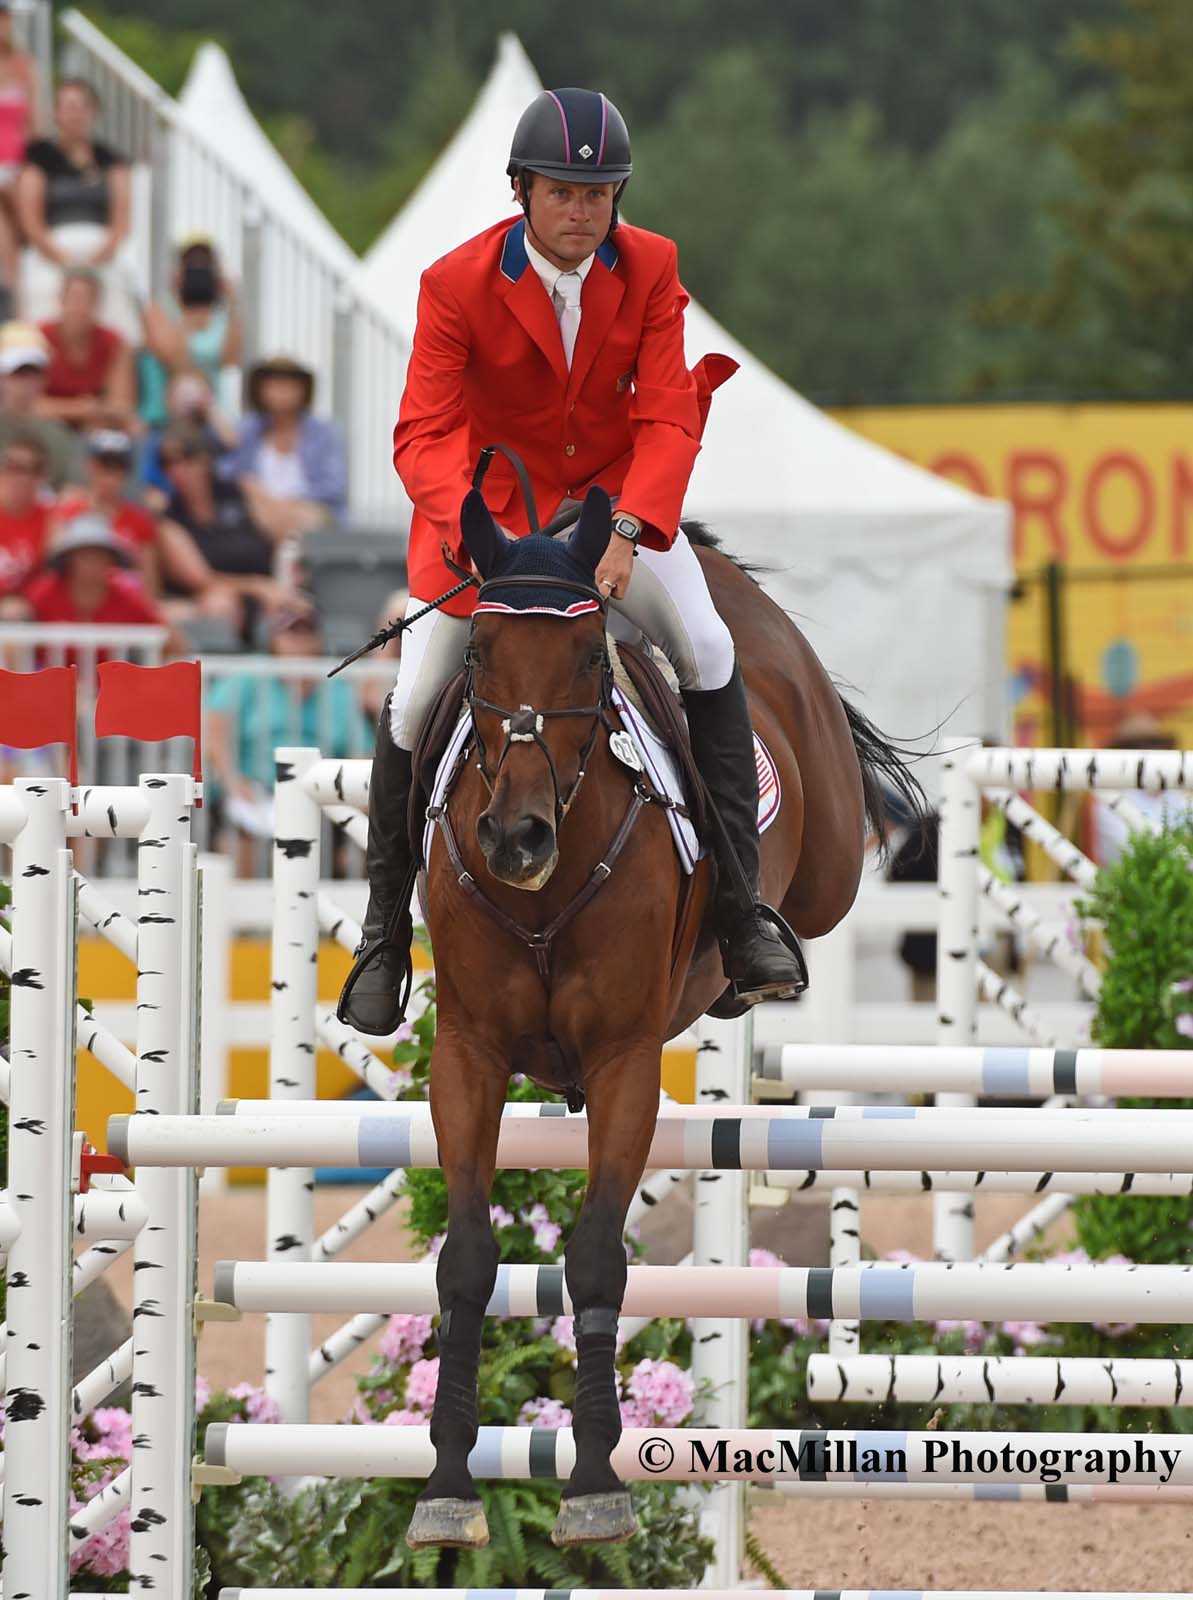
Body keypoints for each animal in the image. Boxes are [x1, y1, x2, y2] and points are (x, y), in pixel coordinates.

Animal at [404, 483, 914, 1548]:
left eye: (587, 656)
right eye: (478, 653)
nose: (514, 840)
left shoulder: (623, 1060)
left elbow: (598, 1258)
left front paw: (595, 1483)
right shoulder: (467, 1055)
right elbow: (466, 1259)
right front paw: (447, 1486)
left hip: (830, 860)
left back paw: (755, 954)